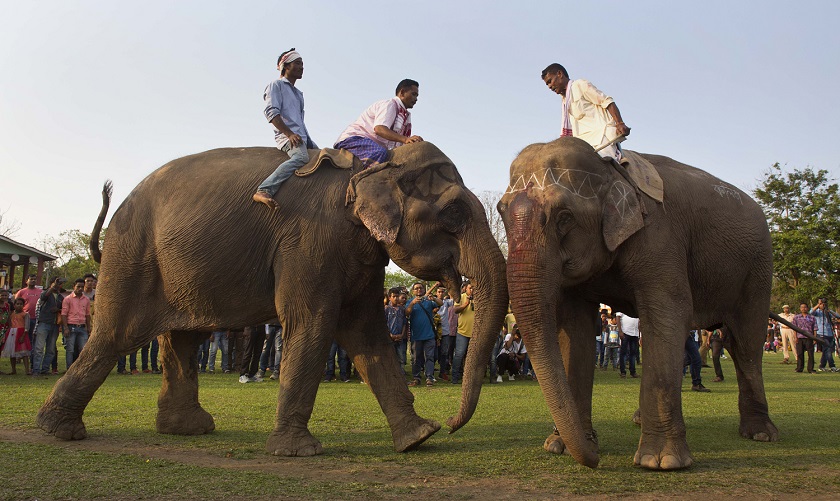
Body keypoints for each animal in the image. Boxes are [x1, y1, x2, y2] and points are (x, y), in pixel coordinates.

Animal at [36, 142, 508, 458]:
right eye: (454, 213)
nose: (452, 425)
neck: (369, 171)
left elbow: (367, 335)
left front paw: (417, 438)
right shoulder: (310, 240)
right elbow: (313, 324)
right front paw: (298, 452)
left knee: (183, 339)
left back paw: (187, 430)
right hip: (133, 257)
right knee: (117, 337)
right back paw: (58, 430)